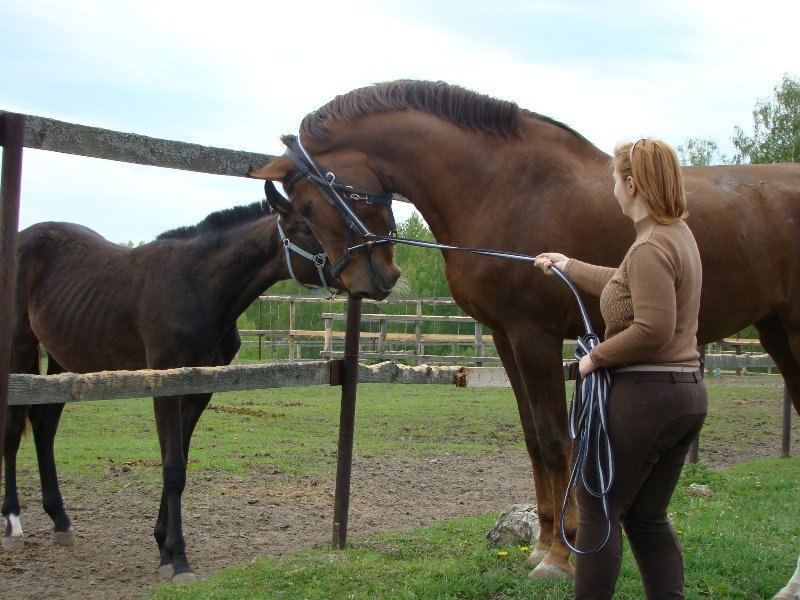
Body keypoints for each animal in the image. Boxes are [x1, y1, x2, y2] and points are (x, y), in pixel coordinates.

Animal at [0, 185, 338, 584]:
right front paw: (178, 558)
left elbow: (178, 462)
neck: (199, 285)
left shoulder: (199, 390)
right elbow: (173, 466)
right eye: (305, 227)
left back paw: (61, 521)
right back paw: (13, 524)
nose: (358, 269)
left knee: (44, 424)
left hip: (61, 360)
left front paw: (163, 546)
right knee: (12, 430)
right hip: (19, 347)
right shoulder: (166, 385)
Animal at [250, 76, 800, 596]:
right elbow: (534, 440)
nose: (372, 281)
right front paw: (542, 543)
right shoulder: (504, 337)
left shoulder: (536, 335)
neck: (501, 186)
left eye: (307, 208)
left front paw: (559, 556)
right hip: (776, 330)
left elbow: (558, 441)